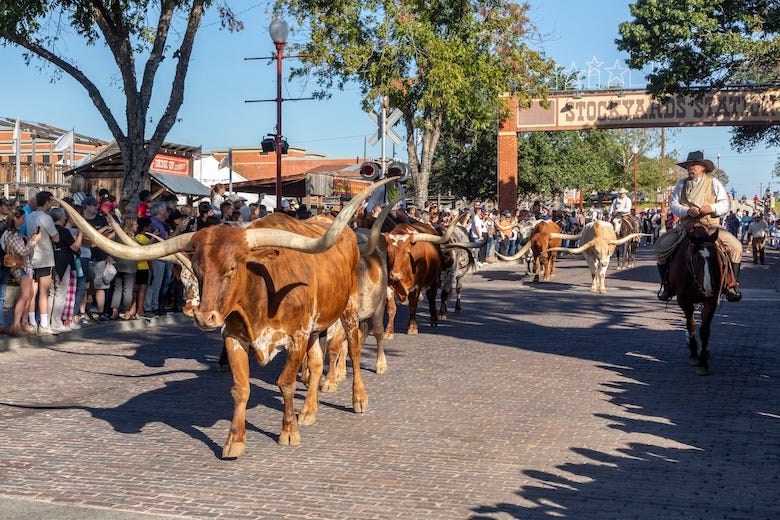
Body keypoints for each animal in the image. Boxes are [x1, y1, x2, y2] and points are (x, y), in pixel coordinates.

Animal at [57, 178, 393, 459]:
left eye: (233, 267)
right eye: (197, 268)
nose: (204, 316)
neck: (260, 297)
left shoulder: (295, 337)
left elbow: (285, 383)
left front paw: (288, 432)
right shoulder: (234, 338)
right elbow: (241, 388)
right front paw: (234, 441)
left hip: (348, 311)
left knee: (353, 348)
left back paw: (358, 398)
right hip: (317, 325)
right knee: (318, 362)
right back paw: (308, 411)